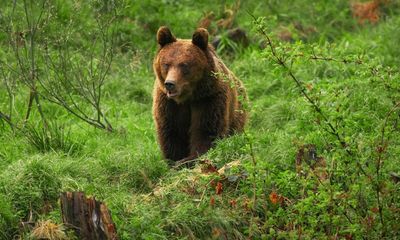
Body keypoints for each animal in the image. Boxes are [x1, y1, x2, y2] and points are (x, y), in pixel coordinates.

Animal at [153, 27, 247, 164]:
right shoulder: (168, 104)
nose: (170, 84)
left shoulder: (208, 99)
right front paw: (176, 160)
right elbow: (171, 132)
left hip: (237, 114)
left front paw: (190, 159)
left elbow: (206, 130)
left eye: (184, 65)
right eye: (166, 64)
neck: (187, 97)